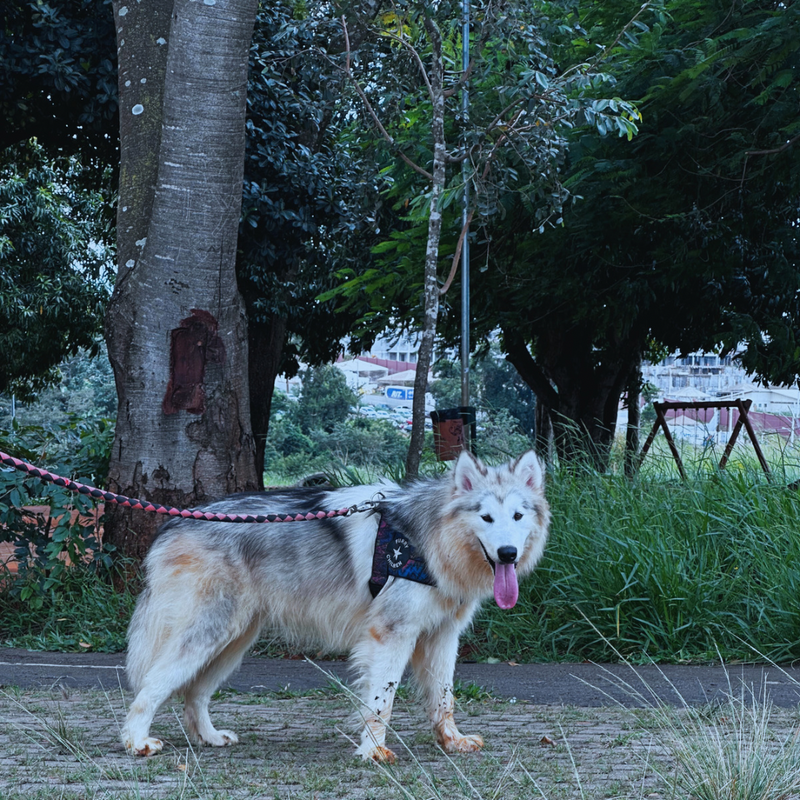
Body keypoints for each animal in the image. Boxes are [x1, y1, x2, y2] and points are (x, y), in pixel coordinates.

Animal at [120, 450, 552, 764]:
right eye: (486, 517)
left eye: (517, 516)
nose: (508, 553)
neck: (430, 540)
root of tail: (173, 523)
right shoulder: (391, 636)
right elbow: (381, 701)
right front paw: (373, 751)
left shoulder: (443, 637)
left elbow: (444, 698)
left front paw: (452, 740)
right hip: (209, 635)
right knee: (152, 685)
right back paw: (137, 741)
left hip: (232, 643)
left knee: (194, 693)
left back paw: (208, 737)